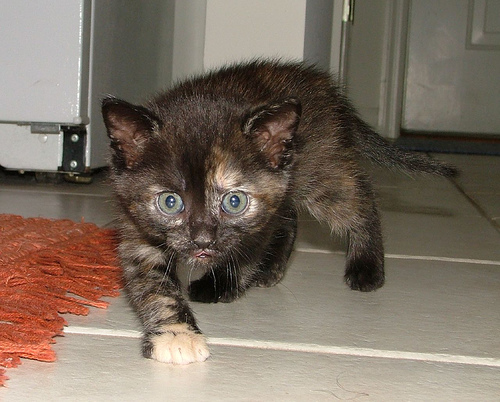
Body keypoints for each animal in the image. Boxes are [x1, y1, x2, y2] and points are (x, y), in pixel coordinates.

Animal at [102, 59, 457, 365]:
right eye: (170, 202)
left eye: (234, 202)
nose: (202, 240)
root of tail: (329, 91)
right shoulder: (135, 226)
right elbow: (154, 285)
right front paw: (176, 334)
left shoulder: (254, 222)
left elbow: (247, 250)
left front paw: (221, 283)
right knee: (289, 217)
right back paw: (271, 270)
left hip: (318, 169)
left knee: (359, 200)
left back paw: (366, 267)